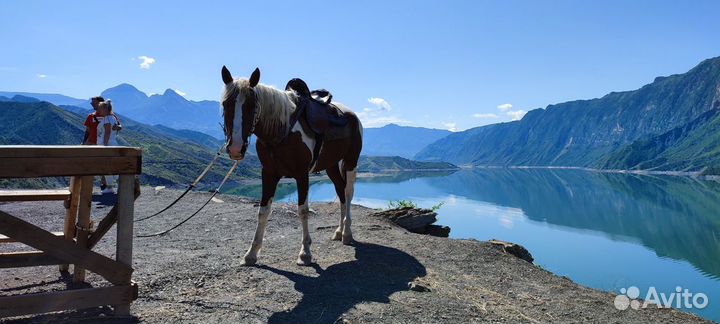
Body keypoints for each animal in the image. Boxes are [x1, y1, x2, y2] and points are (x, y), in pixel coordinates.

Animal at [219, 66, 362, 266]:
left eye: (251, 106)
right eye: (225, 104)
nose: (235, 148)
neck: (282, 129)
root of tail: (351, 115)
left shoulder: (302, 175)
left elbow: (303, 211)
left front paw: (305, 252)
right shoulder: (268, 173)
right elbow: (263, 211)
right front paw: (251, 254)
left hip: (350, 161)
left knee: (348, 193)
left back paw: (347, 234)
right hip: (331, 165)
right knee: (340, 191)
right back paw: (339, 232)